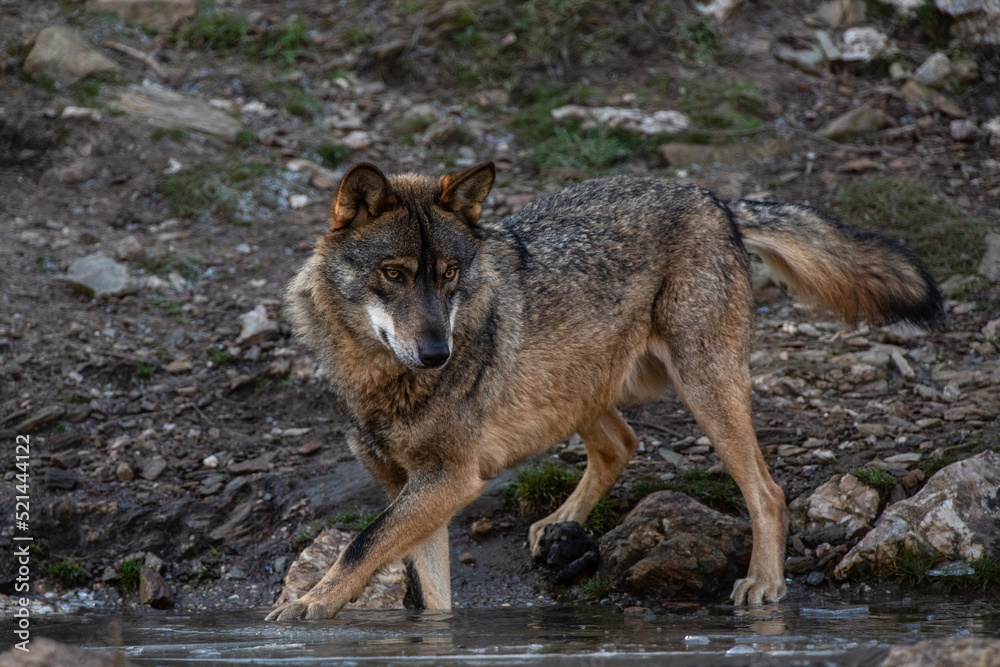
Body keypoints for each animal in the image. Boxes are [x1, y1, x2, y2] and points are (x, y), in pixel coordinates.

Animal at [267, 161, 942, 621]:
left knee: (768, 492)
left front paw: (307, 603)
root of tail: (714, 198)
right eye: (394, 274)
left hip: (703, 387)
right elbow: (424, 591)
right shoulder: (413, 488)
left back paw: (765, 585)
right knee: (622, 443)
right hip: (576, 390)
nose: (439, 354)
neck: (380, 379)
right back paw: (558, 525)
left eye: (451, 275)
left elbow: (361, 544)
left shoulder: (451, 479)